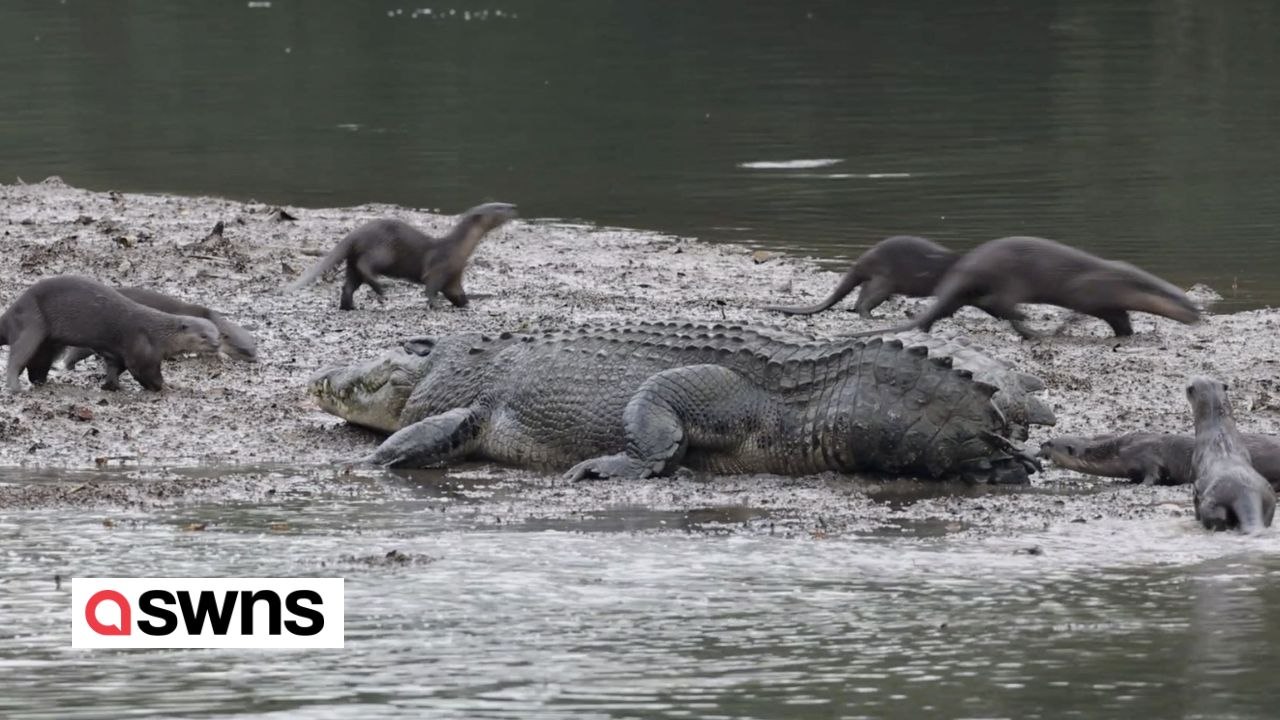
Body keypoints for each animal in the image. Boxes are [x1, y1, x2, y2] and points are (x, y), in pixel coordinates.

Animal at [0, 276, 220, 392]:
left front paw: (112, 386)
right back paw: (15, 387)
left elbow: (115, 369)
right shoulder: (142, 350)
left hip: (47, 344)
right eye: (203, 336)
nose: (216, 344)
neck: (158, 334)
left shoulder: (117, 353)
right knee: (16, 358)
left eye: (218, 334)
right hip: (31, 324)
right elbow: (146, 373)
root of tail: (10, 312)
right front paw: (167, 386)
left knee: (37, 365)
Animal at [286, 202, 518, 310]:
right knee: (365, 265)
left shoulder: (454, 275)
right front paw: (435, 305)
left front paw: (466, 303)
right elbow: (430, 288)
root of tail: (356, 234)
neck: (459, 249)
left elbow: (456, 292)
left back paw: (349, 306)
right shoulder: (439, 268)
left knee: (349, 284)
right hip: (383, 251)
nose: (513, 206)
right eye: (499, 207)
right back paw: (381, 289)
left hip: (352, 263)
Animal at [843, 236, 1201, 339]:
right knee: (1003, 305)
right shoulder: (1088, 290)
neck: (1119, 281)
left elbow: (1121, 318)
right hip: (1009, 281)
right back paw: (1031, 328)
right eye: (1187, 305)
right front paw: (1065, 327)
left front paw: (1128, 334)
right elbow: (1080, 310)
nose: (1198, 315)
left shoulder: (1113, 305)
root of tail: (966, 266)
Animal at [1186, 377, 1276, 533]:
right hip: (1270, 498)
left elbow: (1195, 499)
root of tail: (1246, 491)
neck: (1217, 427)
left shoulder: (1194, 472)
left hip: (1213, 502)